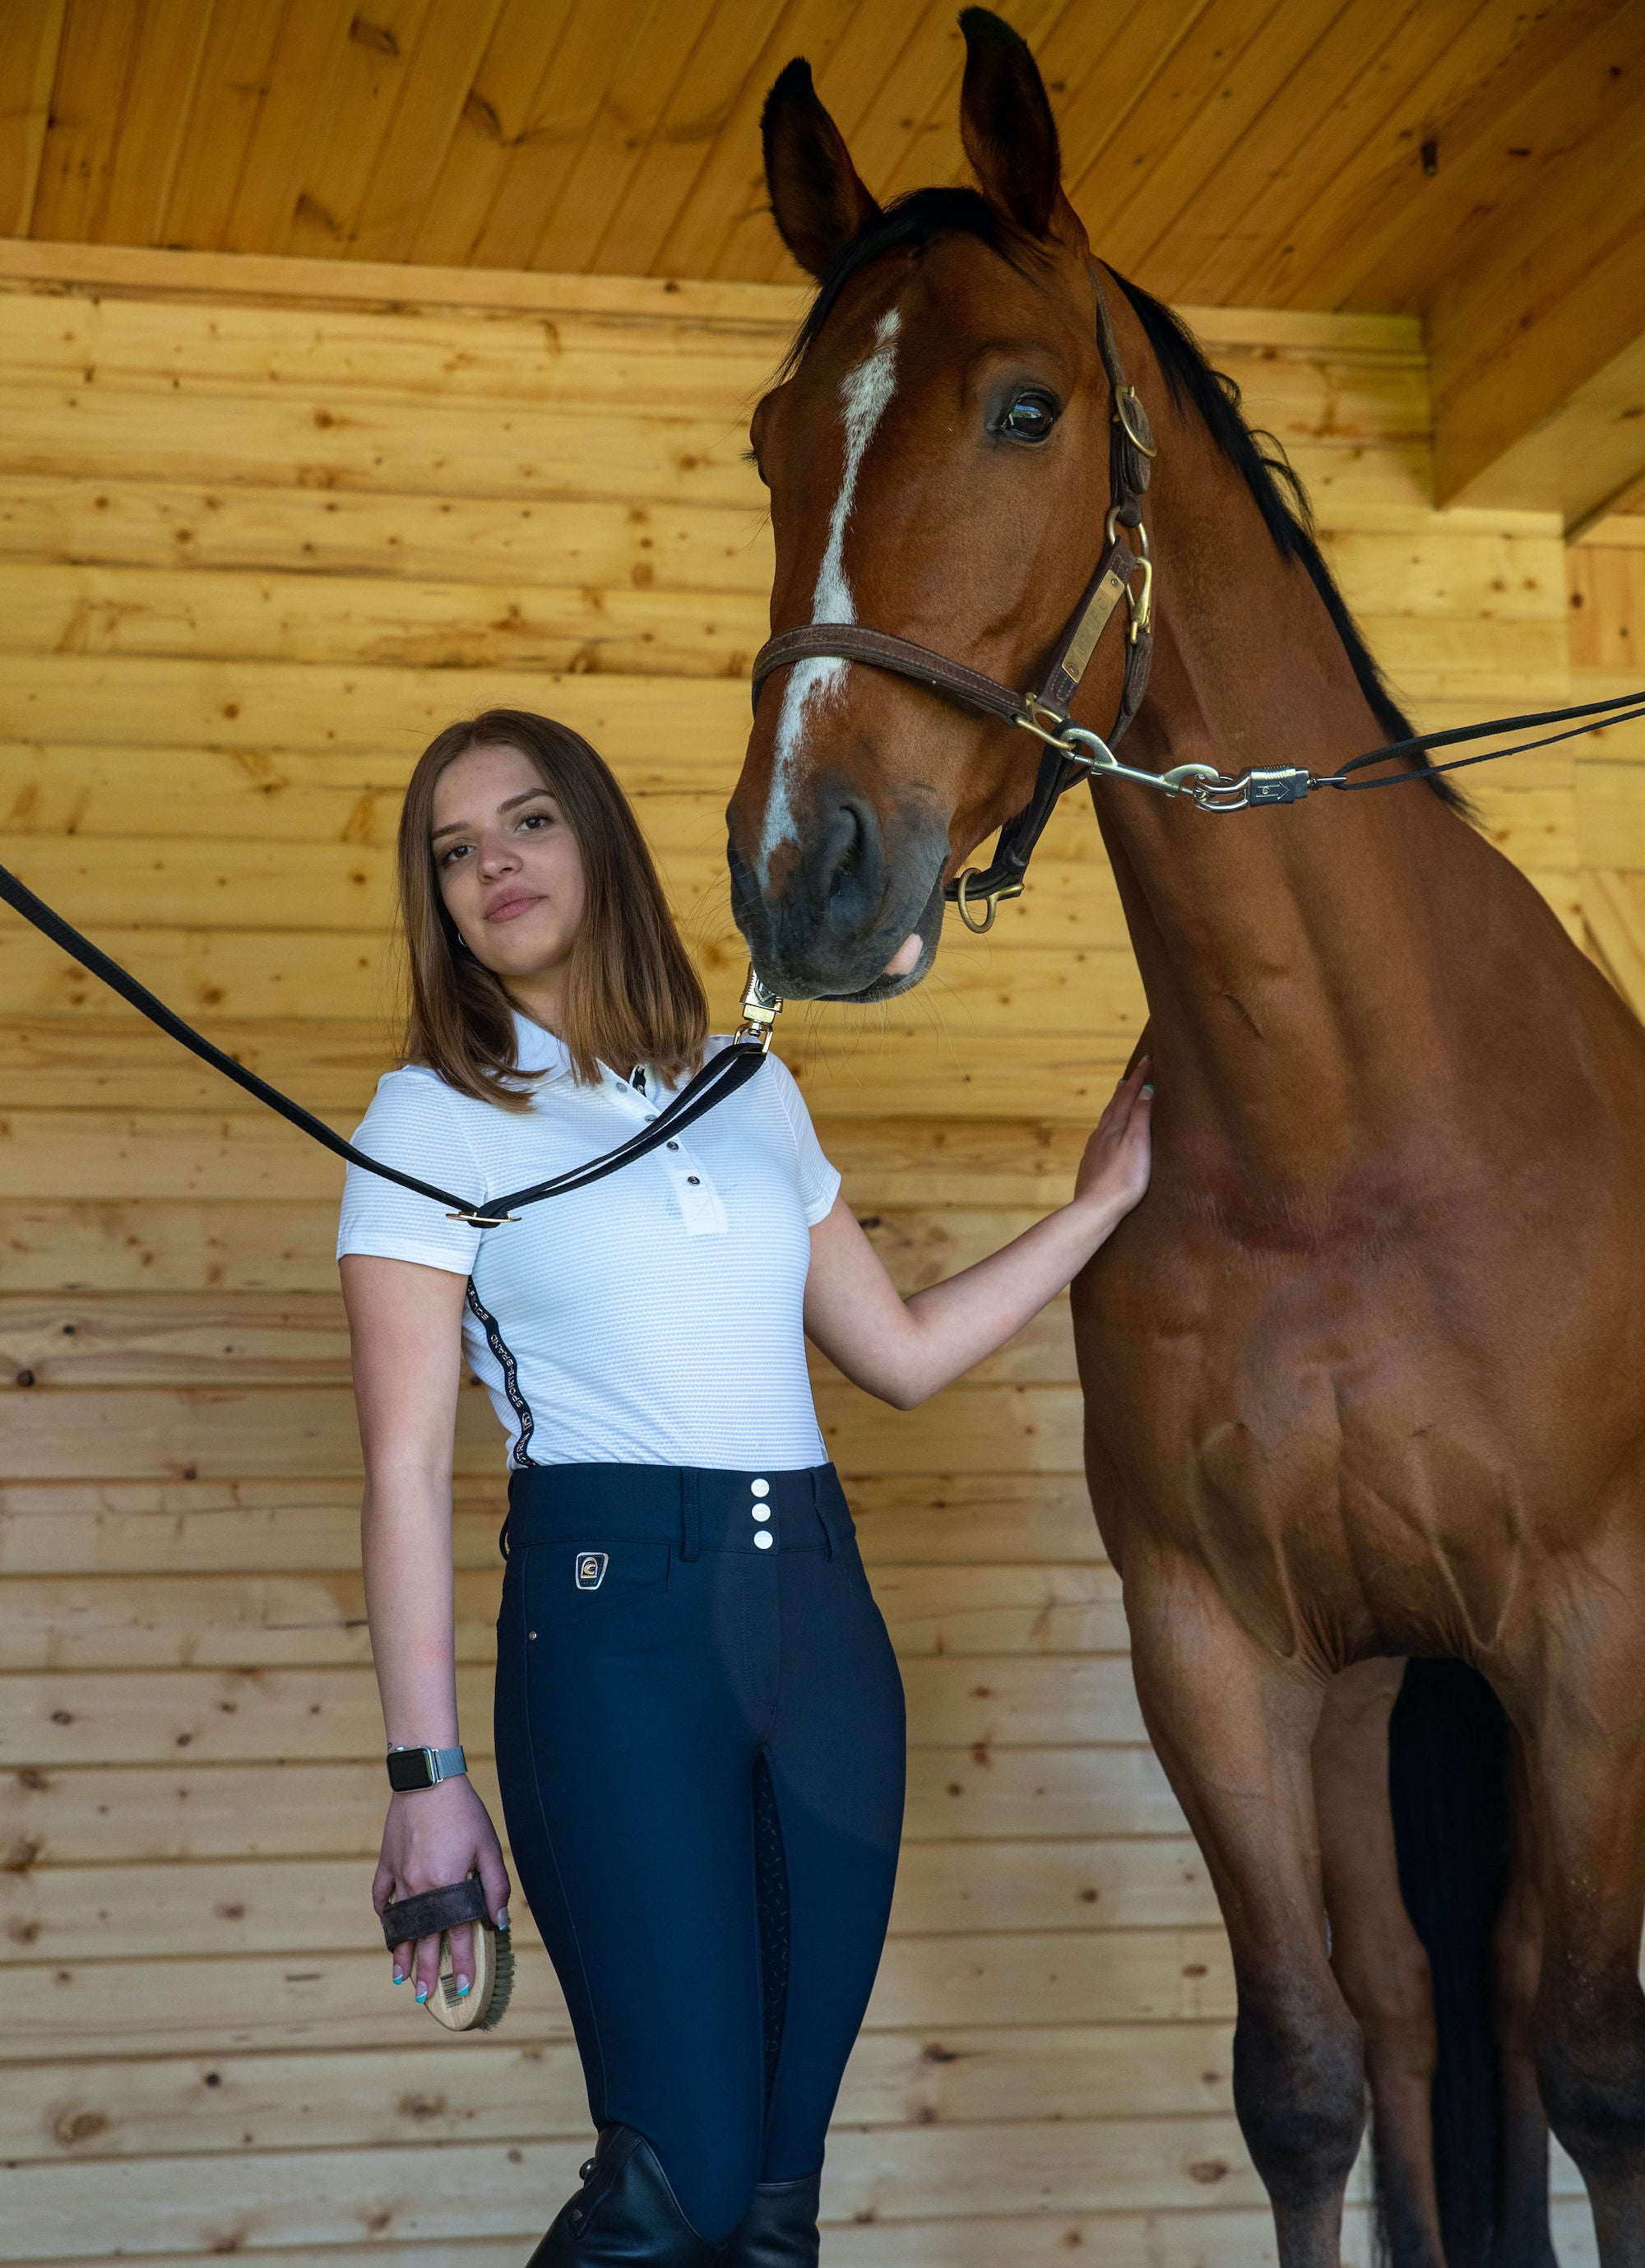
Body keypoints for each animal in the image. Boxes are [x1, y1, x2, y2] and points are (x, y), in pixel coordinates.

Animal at [725, 13, 1645, 2267]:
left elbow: (1599, 2061)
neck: (1351, 1146)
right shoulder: (1220, 1647)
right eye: (774, 438)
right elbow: (1307, 2075)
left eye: (1024, 407)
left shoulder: (1588, 1627)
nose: (803, 873)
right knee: (1423, 2009)